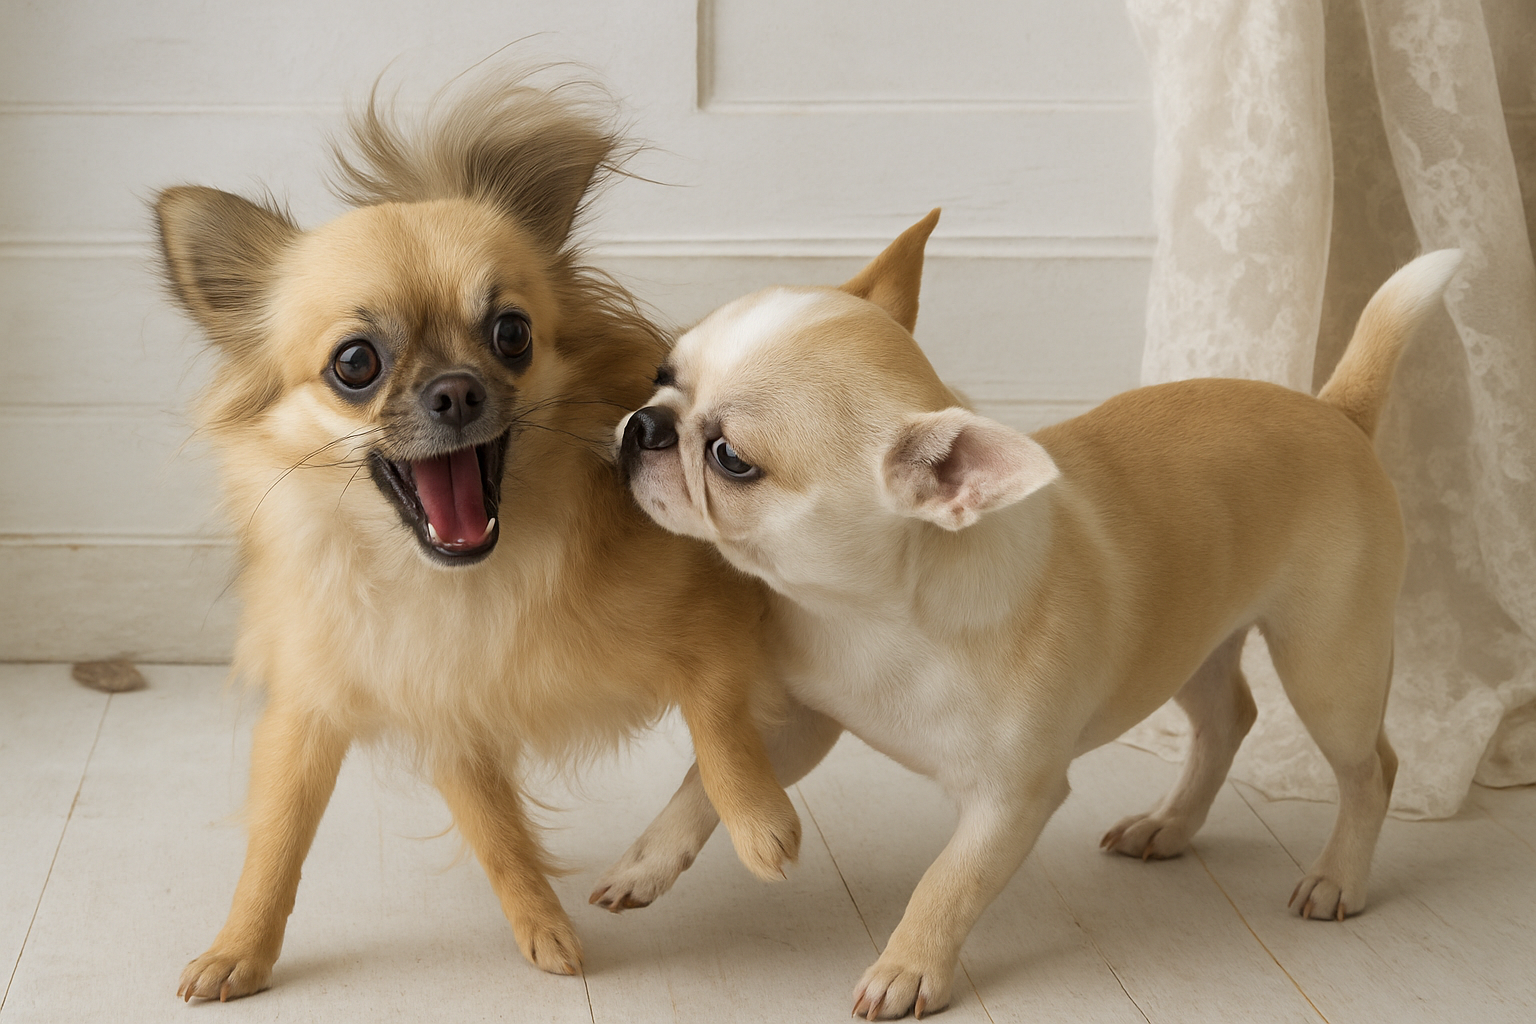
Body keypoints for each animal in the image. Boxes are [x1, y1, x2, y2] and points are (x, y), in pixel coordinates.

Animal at [155, 71, 801, 1001]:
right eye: (356, 363)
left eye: (512, 334)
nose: (458, 390)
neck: (460, 580)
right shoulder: (403, 712)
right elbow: (311, 836)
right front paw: (241, 947)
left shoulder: (712, 613)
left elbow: (718, 719)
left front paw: (758, 822)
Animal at [607, 209, 1461, 1019]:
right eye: (660, 373)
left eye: (732, 459)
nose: (642, 424)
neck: (876, 612)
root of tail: (1336, 412)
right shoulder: (802, 725)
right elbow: (701, 785)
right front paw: (647, 862)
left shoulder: (1010, 800)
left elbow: (947, 883)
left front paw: (908, 969)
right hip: (1187, 643)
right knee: (1228, 718)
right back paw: (1170, 825)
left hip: (1327, 665)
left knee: (1369, 768)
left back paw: (1338, 875)